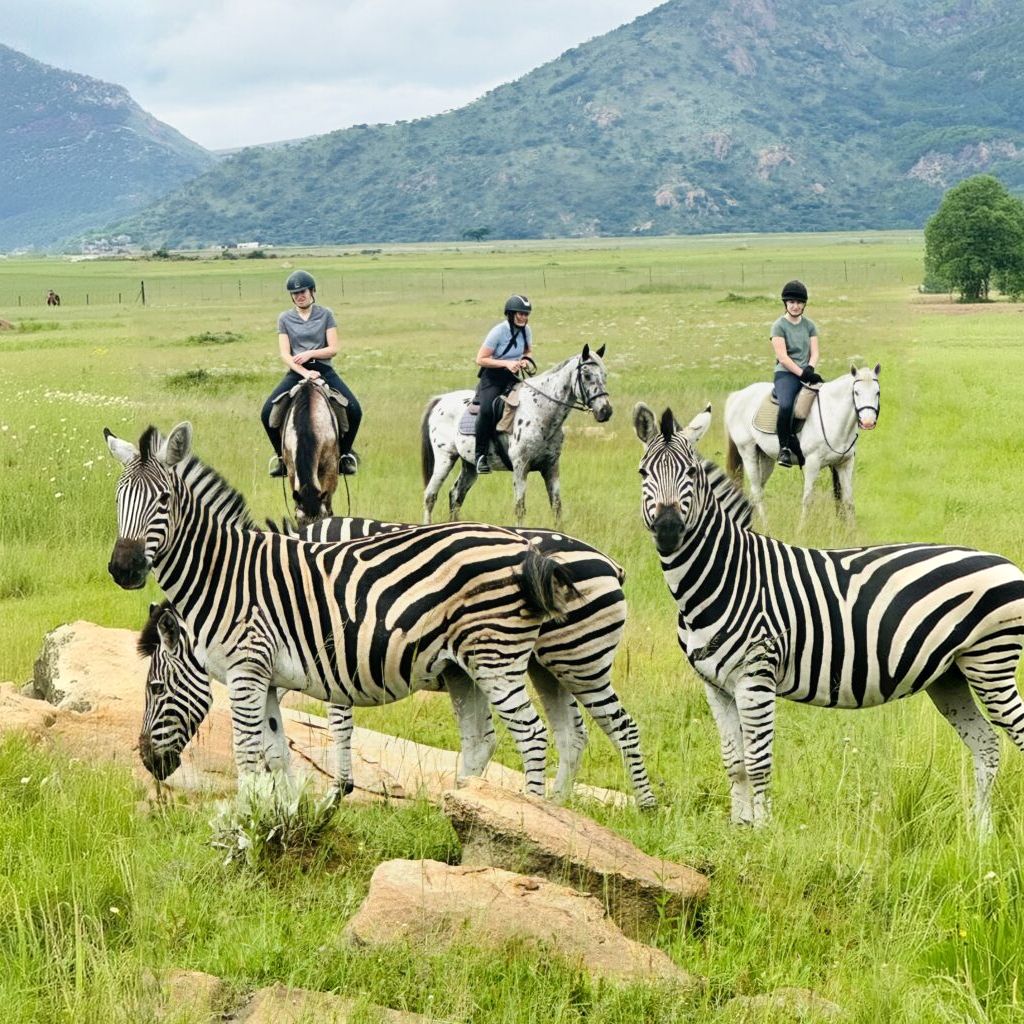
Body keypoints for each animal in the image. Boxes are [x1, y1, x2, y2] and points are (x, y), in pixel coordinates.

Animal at [106, 421, 650, 803]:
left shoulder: (318, 652)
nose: (123, 569)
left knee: (594, 729)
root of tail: (609, 561)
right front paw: (286, 815)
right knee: (569, 734)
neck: (234, 573)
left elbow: (310, 733)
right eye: (116, 500)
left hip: (564, 659)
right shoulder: (294, 666)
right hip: (541, 666)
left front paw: (326, 796)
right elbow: (278, 751)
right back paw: (545, 811)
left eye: (155, 688)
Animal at [633, 401, 1024, 835]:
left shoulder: (756, 676)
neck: (724, 578)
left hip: (991, 664)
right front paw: (740, 829)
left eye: (691, 473)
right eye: (643, 473)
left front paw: (763, 834)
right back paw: (981, 835)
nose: (669, 530)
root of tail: (1006, 562)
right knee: (987, 745)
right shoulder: (715, 686)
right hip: (951, 676)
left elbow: (758, 761)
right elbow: (734, 762)